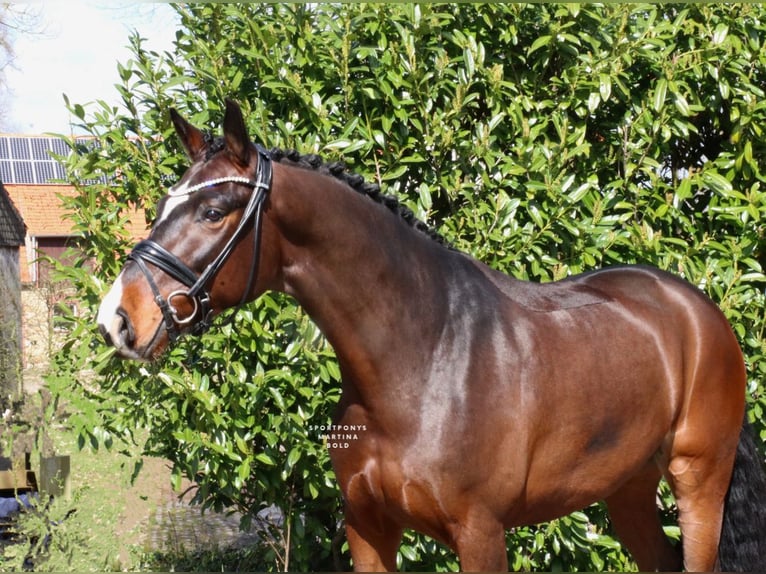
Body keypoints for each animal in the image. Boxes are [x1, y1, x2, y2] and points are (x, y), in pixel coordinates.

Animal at [97, 99, 766, 571]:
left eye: (213, 212)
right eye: (162, 205)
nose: (118, 319)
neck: (423, 359)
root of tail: (700, 312)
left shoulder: (481, 534)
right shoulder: (368, 528)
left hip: (698, 483)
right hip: (627, 491)